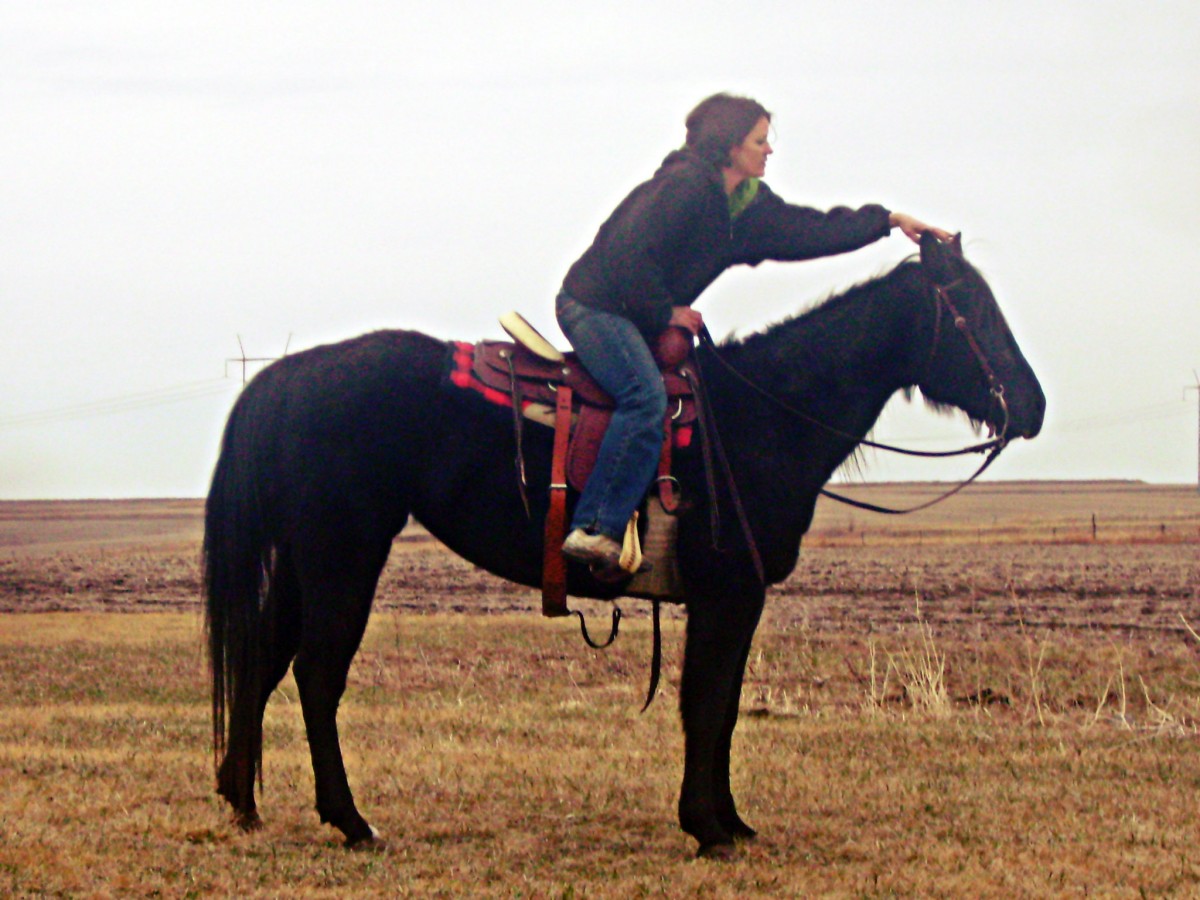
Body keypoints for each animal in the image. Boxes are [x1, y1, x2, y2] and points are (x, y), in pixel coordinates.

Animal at [204, 234, 1041, 859]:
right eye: (969, 308)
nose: (1030, 406)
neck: (760, 415)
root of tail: (288, 376)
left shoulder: (733, 602)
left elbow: (723, 708)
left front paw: (731, 821)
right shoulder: (727, 597)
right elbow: (706, 705)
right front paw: (708, 829)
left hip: (305, 561)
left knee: (264, 660)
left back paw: (242, 800)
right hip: (343, 555)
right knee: (317, 675)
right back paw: (351, 821)